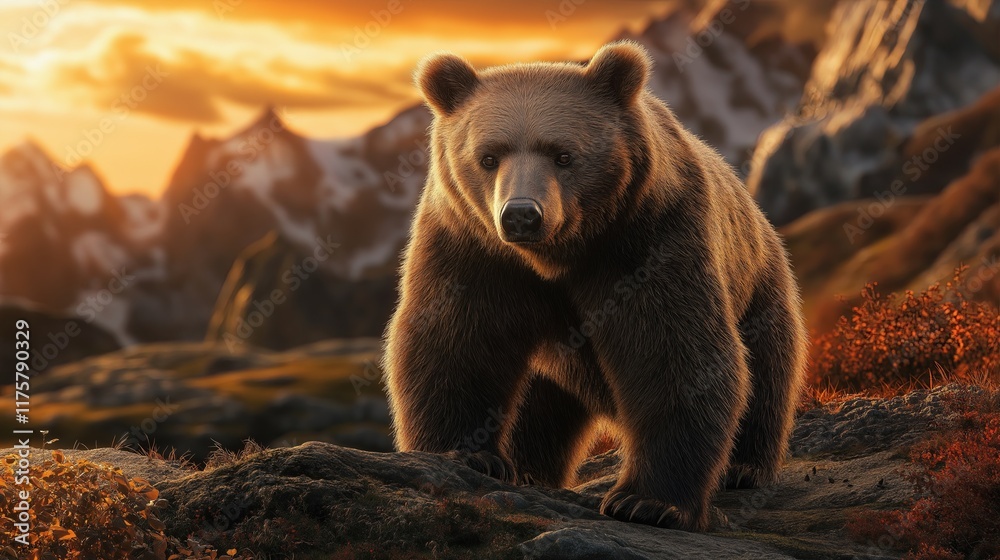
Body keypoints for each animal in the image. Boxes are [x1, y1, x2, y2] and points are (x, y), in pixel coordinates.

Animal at [384, 41, 807, 532]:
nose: (522, 214)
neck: (558, 257)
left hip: (759, 282)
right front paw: (466, 455)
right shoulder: (472, 248)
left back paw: (743, 467)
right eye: (488, 157)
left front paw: (646, 501)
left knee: (767, 369)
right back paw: (530, 469)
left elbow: (675, 351)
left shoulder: (648, 240)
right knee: (542, 404)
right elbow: (454, 342)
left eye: (563, 155)